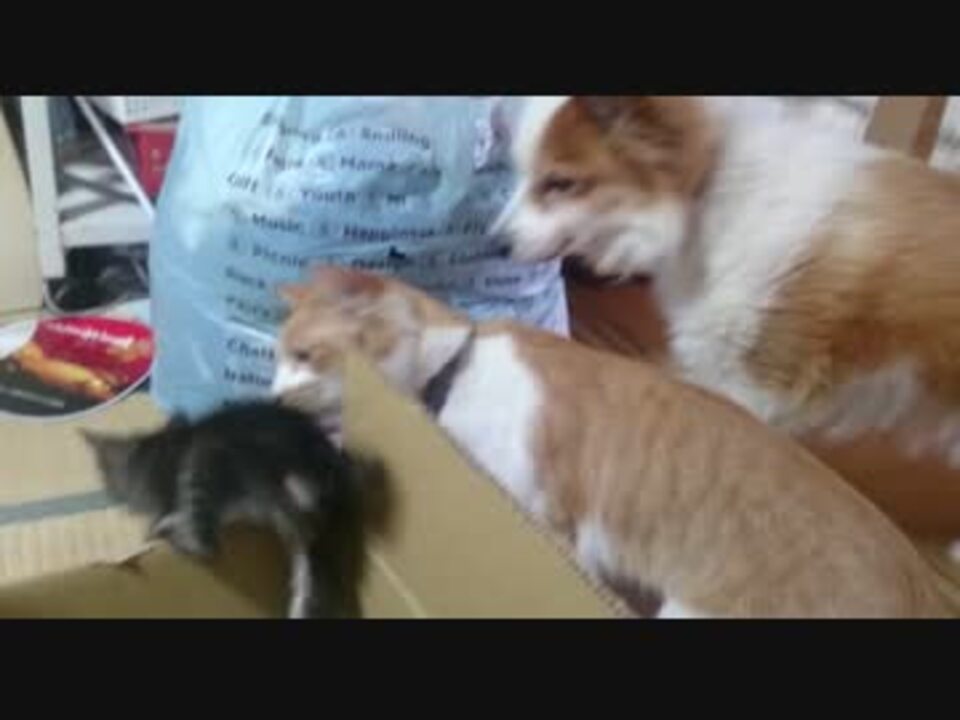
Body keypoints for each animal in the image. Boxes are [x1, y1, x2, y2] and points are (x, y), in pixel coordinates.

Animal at [270, 265, 956, 618]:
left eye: (305, 355)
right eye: (278, 360)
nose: (274, 399)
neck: (455, 369)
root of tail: (918, 583)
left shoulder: (545, 514)